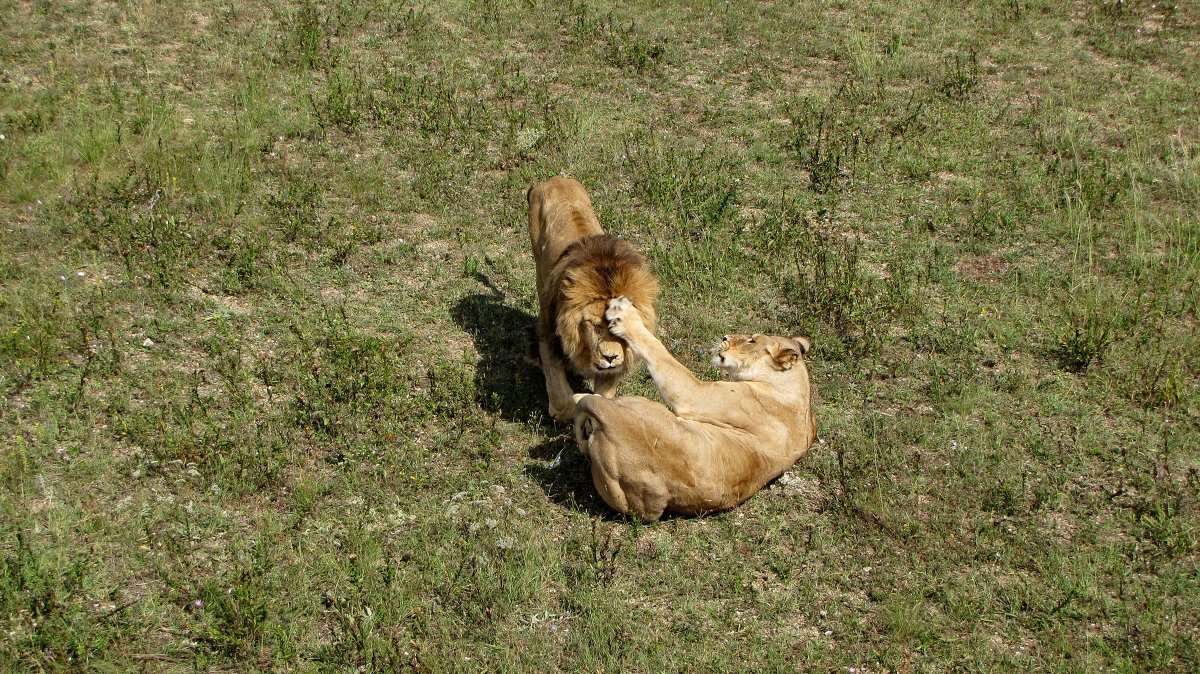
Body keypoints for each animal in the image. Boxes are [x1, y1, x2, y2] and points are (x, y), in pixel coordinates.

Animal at [528, 177, 657, 419]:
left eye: (622, 327)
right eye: (594, 326)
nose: (610, 358)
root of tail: (556, 179)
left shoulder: (611, 373)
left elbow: (602, 400)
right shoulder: (549, 337)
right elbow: (563, 399)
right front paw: (562, 409)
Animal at [568, 293, 816, 520]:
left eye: (752, 341)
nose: (725, 336)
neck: (797, 389)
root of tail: (609, 418)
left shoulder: (695, 395)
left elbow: (658, 351)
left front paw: (624, 315)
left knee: (590, 401)